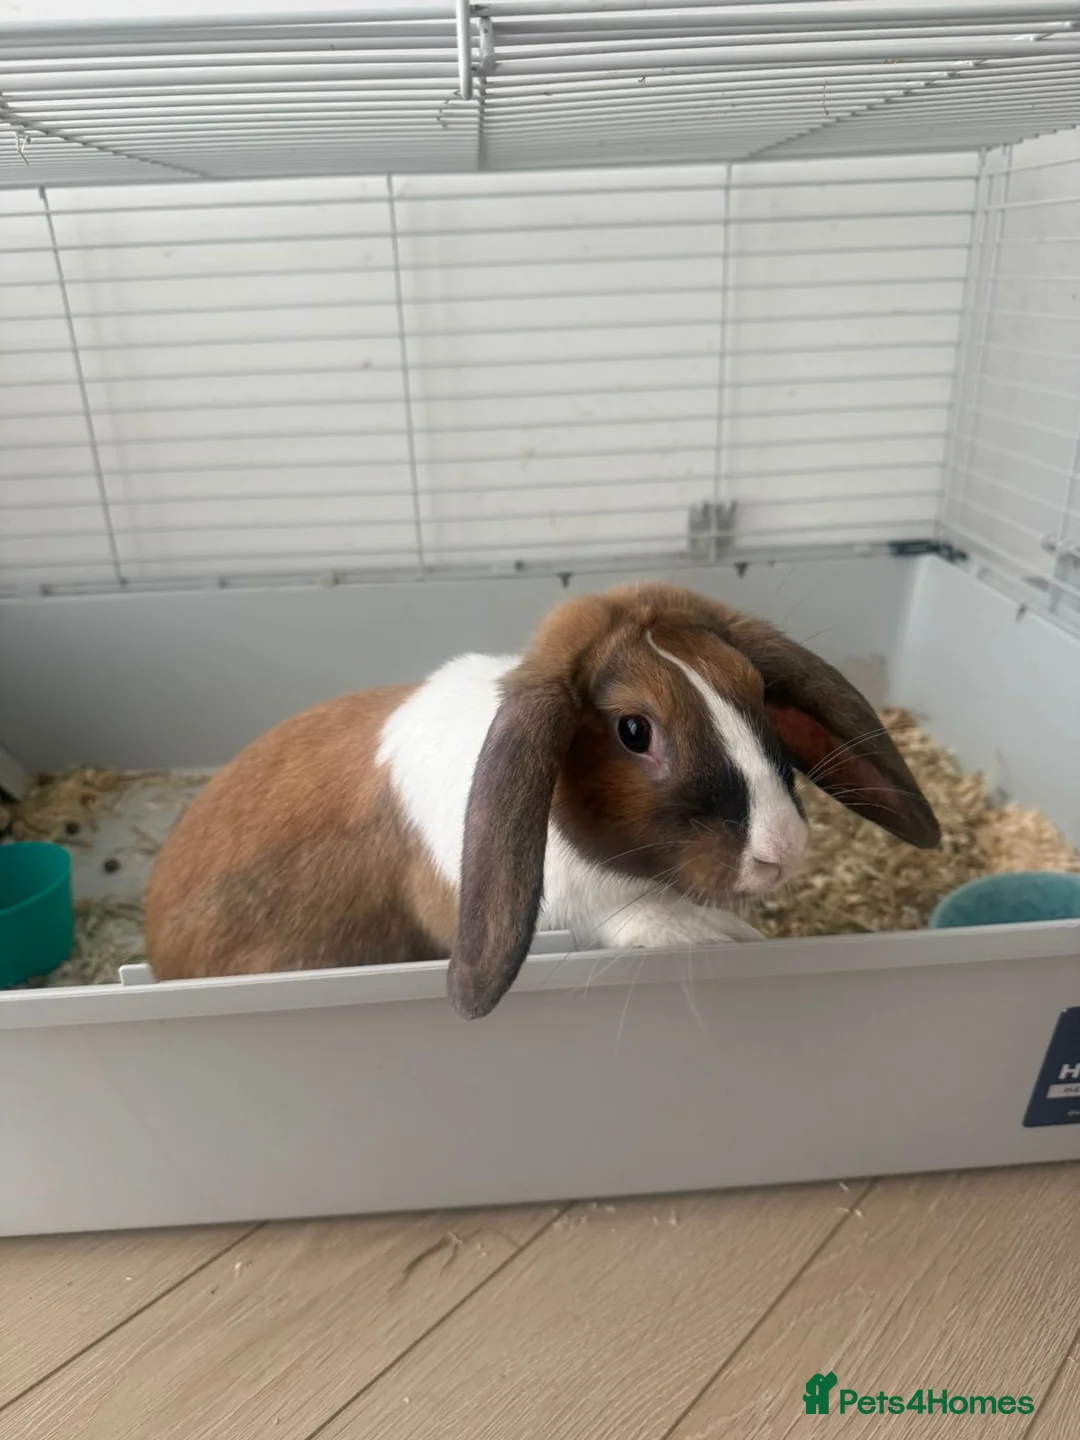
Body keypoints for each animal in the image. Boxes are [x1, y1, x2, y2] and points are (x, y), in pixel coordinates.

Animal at [144, 581, 940, 1019]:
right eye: (634, 730)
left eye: (753, 690)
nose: (782, 849)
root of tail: (154, 946)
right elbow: (628, 918)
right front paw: (718, 935)